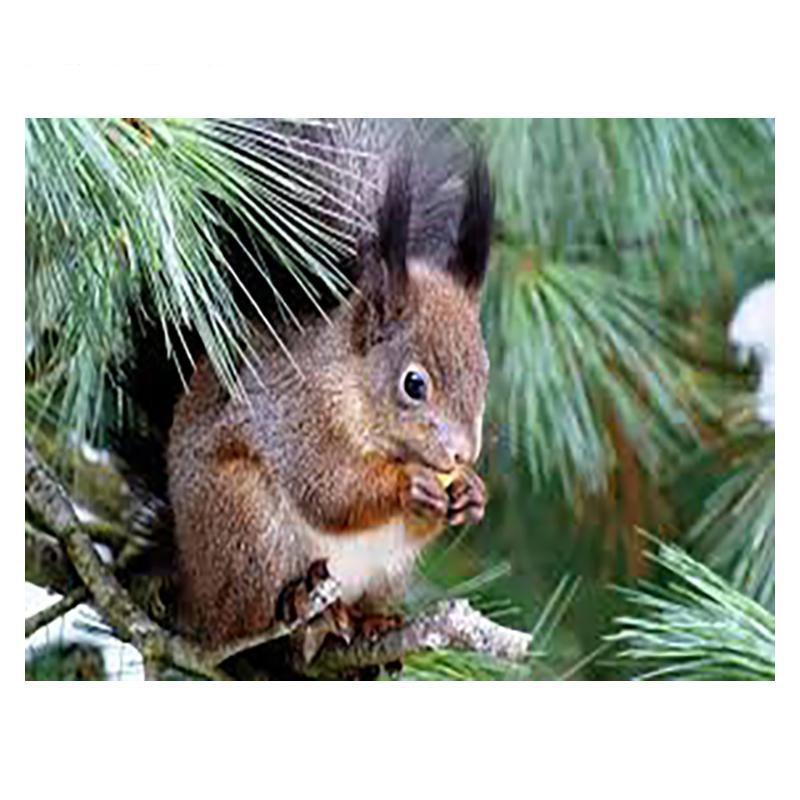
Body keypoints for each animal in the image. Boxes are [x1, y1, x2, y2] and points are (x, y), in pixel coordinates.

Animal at [129, 120, 494, 665]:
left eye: (485, 376)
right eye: (414, 384)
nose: (461, 454)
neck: (351, 385)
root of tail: (188, 582)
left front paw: (471, 493)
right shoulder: (298, 414)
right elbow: (329, 491)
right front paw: (408, 484)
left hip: (388, 571)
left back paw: (367, 623)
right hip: (244, 523)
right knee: (241, 621)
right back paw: (303, 609)